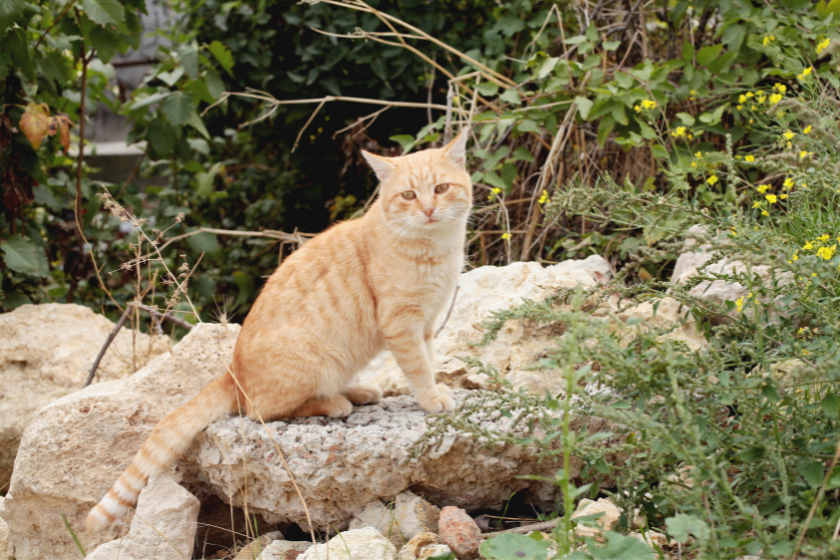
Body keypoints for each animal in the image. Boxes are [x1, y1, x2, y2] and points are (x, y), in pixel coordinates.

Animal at [88, 129, 476, 532]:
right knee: (263, 410)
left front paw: (436, 389)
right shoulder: (402, 324)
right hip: (310, 362)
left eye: (441, 188)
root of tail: (232, 372)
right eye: (409, 195)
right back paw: (335, 402)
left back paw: (357, 391)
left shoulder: (427, 323)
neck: (436, 249)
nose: (428, 210)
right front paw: (431, 398)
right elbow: (418, 368)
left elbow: (429, 361)